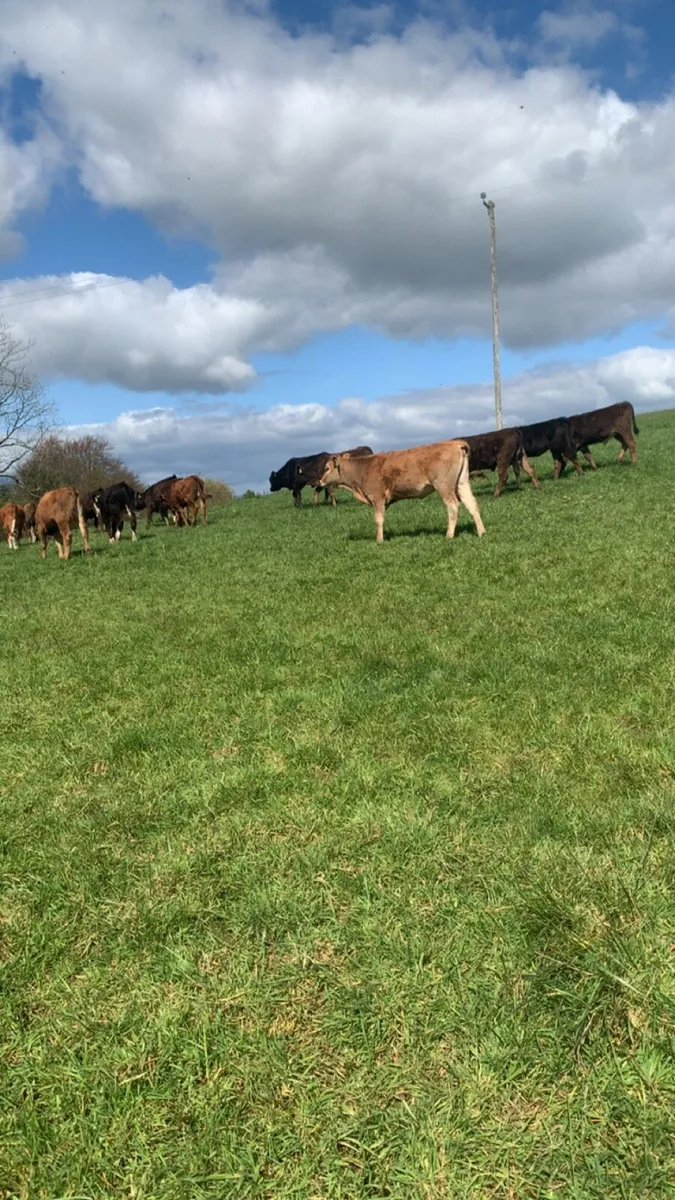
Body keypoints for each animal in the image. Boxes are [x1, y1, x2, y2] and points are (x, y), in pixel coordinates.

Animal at [319, 439, 485, 543]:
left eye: (327, 468)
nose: (320, 481)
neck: (363, 468)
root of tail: (455, 443)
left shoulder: (377, 497)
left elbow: (379, 519)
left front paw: (379, 540)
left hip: (444, 486)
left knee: (453, 507)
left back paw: (449, 535)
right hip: (462, 483)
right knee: (472, 504)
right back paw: (481, 532)